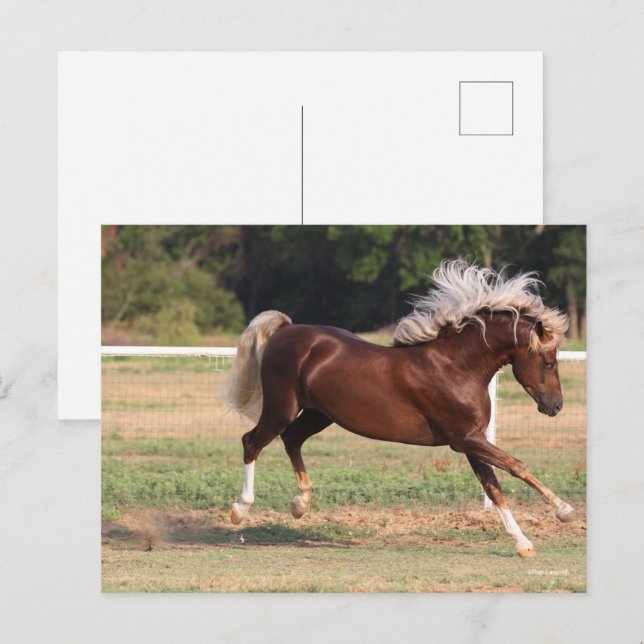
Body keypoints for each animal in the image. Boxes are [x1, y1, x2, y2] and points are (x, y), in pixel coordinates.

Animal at [225, 260, 579, 558]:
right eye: (549, 362)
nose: (555, 406)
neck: (456, 367)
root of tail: (286, 329)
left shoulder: (472, 440)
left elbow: (493, 487)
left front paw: (524, 544)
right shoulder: (465, 439)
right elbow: (516, 466)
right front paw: (566, 511)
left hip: (318, 414)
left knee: (292, 439)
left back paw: (300, 503)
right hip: (281, 408)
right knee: (251, 441)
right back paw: (240, 510)